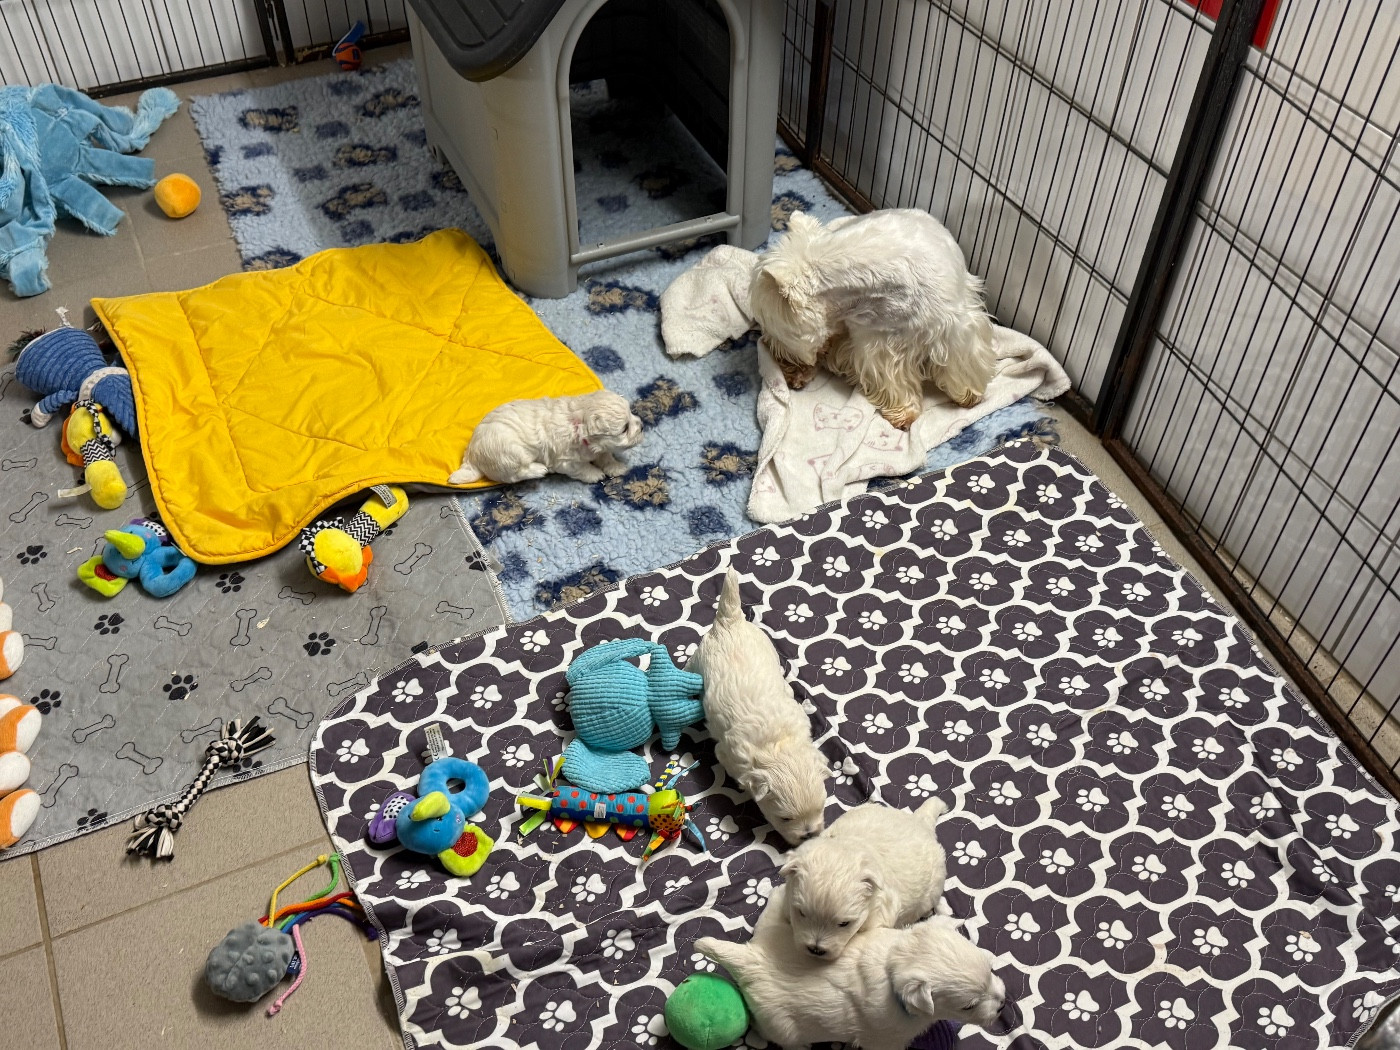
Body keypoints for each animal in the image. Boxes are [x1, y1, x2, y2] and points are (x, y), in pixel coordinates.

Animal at [449, 390, 643, 484]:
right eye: (625, 429)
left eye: (631, 412)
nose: (642, 426)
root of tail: (472, 454)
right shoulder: (566, 461)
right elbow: (582, 468)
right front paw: (595, 474)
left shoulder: (599, 449)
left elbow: (606, 457)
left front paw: (617, 467)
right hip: (509, 454)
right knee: (516, 475)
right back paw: (539, 469)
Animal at [689, 569, 828, 844]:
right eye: (785, 819)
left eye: (821, 807)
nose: (809, 835)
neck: (778, 745)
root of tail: (730, 621)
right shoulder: (728, 755)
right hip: (699, 658)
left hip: (764, 642)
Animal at [697, 903, 1006, 1050]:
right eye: (968, 1006)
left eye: (991, 968)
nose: (1003, 1004)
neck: (894, 964)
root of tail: (751, 959)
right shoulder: (885, 1042)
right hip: (779, 1024)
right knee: (769, 1033)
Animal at [748, 209, 998, 430]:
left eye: (771, 326)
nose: (768, 344)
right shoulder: (875, 339)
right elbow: (891, 378)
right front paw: (904, 412)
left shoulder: (955, 329)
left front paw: (969, 395)